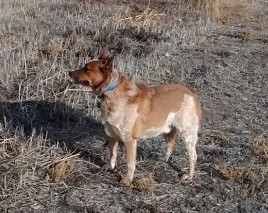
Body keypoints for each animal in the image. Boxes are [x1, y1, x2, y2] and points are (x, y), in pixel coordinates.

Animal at [69, 47, 201, 186]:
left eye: (86, 68)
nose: (69, 72)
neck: (111, 91)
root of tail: (191, 92)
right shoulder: (111, 135)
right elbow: (112, 154)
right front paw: (110, 167)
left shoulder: (129, 140)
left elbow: (130, 164)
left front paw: (128, 180)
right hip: (167, 129)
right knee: (171, 144)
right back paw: (164, 160)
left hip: (188, 134)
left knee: (193, 156)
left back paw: (189, 176)